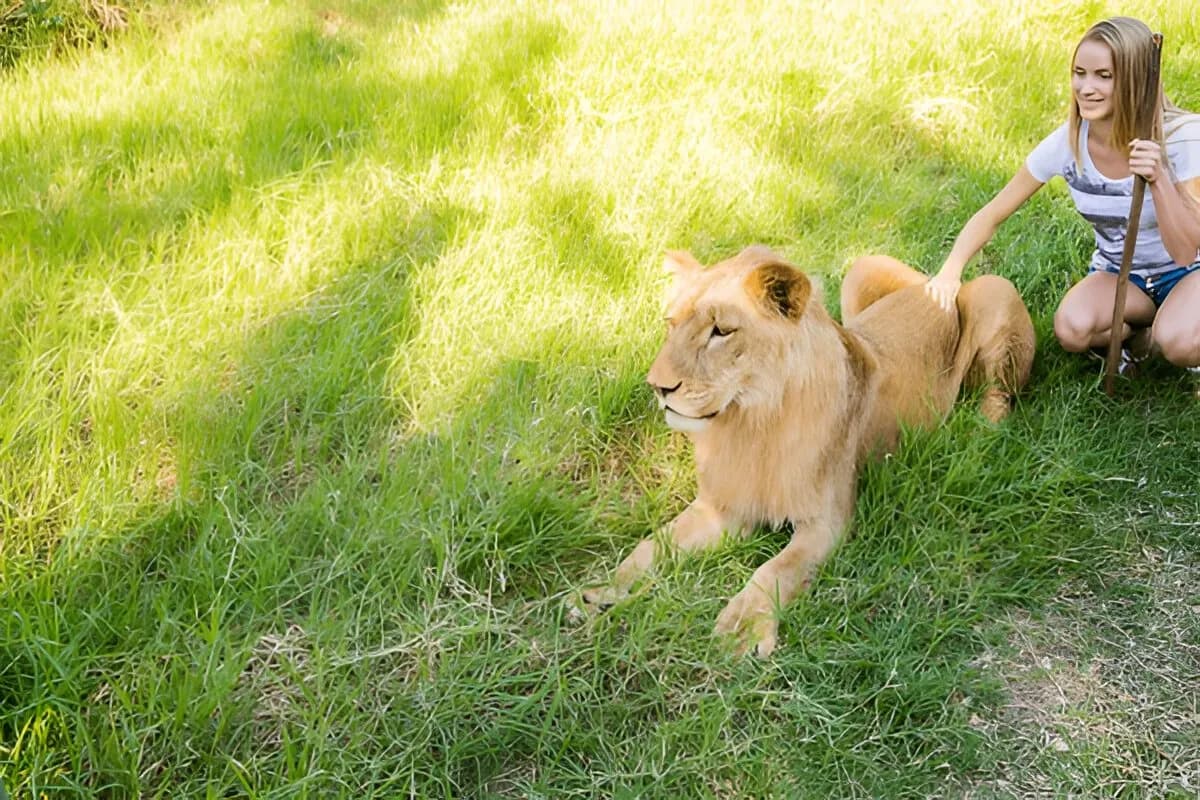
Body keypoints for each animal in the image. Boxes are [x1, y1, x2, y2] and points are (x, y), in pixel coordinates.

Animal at [581, 246, 1035, 657]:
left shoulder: (827, 522)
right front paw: (601, 590)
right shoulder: (721, 507)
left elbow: (776, 569)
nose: (658, 387)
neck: (749, 423)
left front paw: (740, 630)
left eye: (721, 331)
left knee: (998, 395)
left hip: (993, 294)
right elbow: (651, 544)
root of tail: (934, 287)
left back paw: (977, 435)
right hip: (860, 273)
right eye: (670, 324)